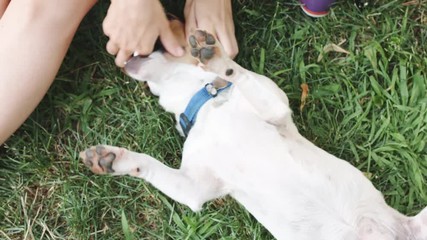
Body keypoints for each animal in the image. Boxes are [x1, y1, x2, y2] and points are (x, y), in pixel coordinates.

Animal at [79, 19, 424, 239]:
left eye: (162, 41)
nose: (122, 52)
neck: (205, 101)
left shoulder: (275, 108)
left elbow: (238, 74)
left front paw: (216, 58)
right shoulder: (195, 189)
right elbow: (148, 166)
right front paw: (112, 159)